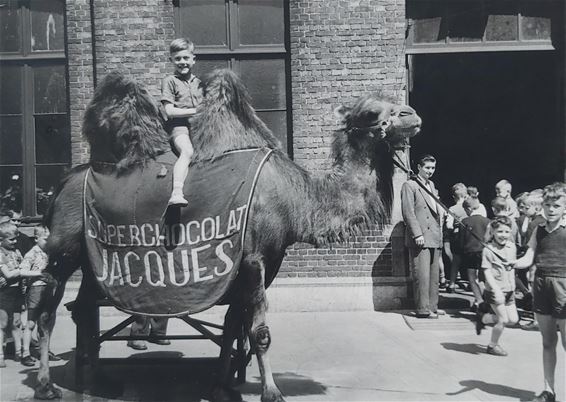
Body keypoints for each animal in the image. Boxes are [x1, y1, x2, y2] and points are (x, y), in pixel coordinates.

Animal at [34, 70, 422, 400]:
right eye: (371, 112)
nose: (412, 114)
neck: (296, 198)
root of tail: (62, 183)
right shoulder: (251, 260)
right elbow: (258, 332)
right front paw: (271, 392)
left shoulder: (262, 262)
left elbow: (233, 327)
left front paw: (222, 386)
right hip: (65, 249)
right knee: (48, 307)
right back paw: (46, 386)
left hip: (93, 257)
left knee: (83, 307)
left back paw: (97, 380)